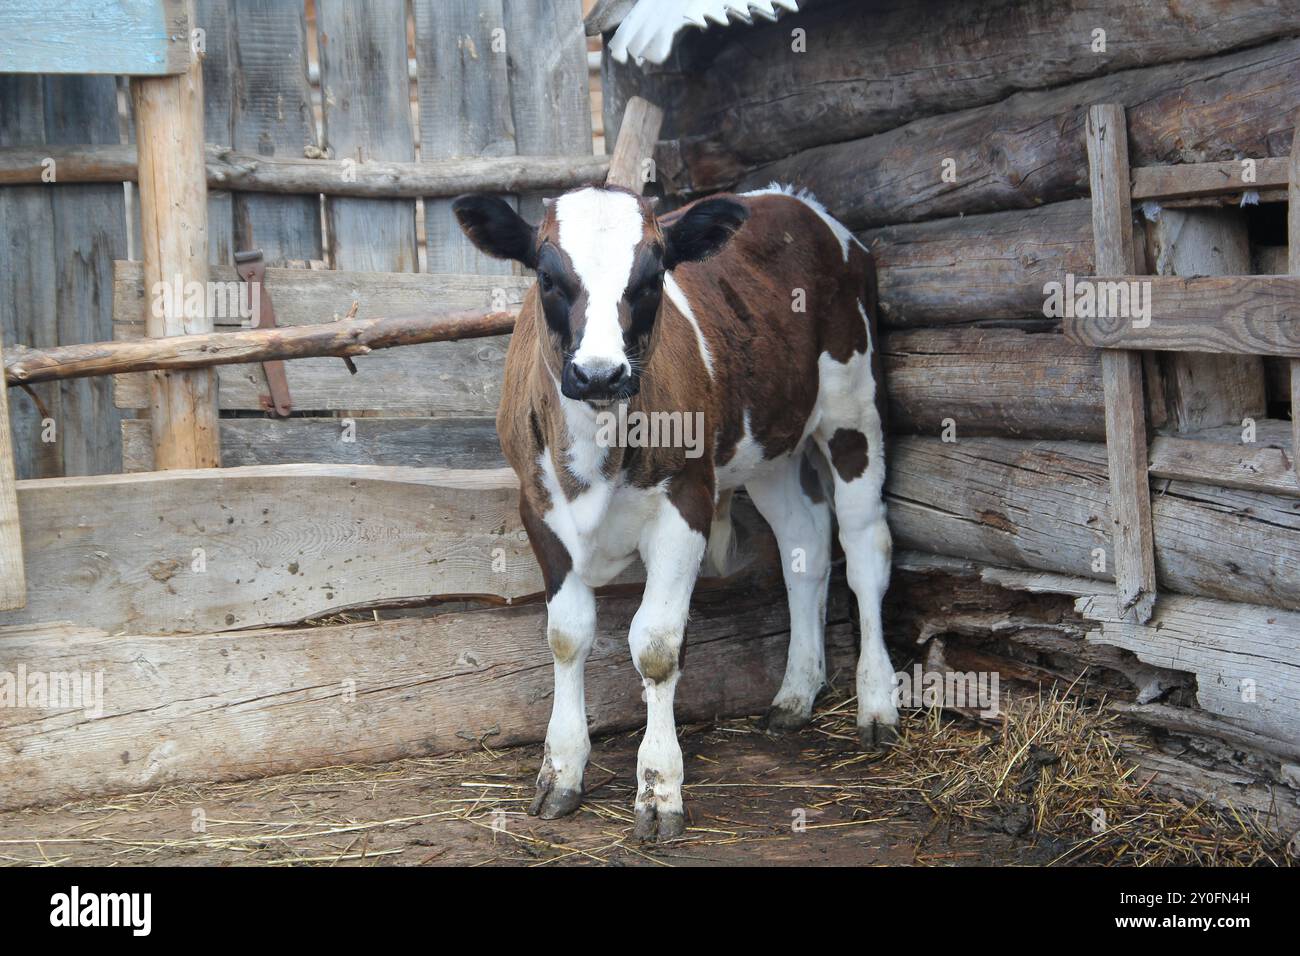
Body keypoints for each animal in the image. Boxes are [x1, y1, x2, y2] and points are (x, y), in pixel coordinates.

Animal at [449, 183, 894, 842]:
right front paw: (561, 771)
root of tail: (793, 200)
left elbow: (655, 647)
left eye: (653, 276)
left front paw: (659, 790)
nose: (600, 373)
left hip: (853, 408)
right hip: (767, 448)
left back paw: (878, 704)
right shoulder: (537, 506)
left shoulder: (686, 500)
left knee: (866, 551)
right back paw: (795, 693)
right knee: (805, 548)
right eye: (548, 276)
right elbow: (566, 636)